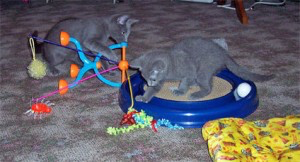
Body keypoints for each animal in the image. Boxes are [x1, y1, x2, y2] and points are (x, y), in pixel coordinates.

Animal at [130, 36, 274, 102]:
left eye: (152, 79)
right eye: (144, 79)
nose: (149, 83)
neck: (171, 63)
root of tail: (224, 53)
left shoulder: (189, 70)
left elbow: (185, 81)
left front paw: (181, 91)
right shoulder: (161, 81)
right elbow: (154, 90)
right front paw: (144, 97)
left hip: (203, 70)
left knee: (208, 88)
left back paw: (196, 94)